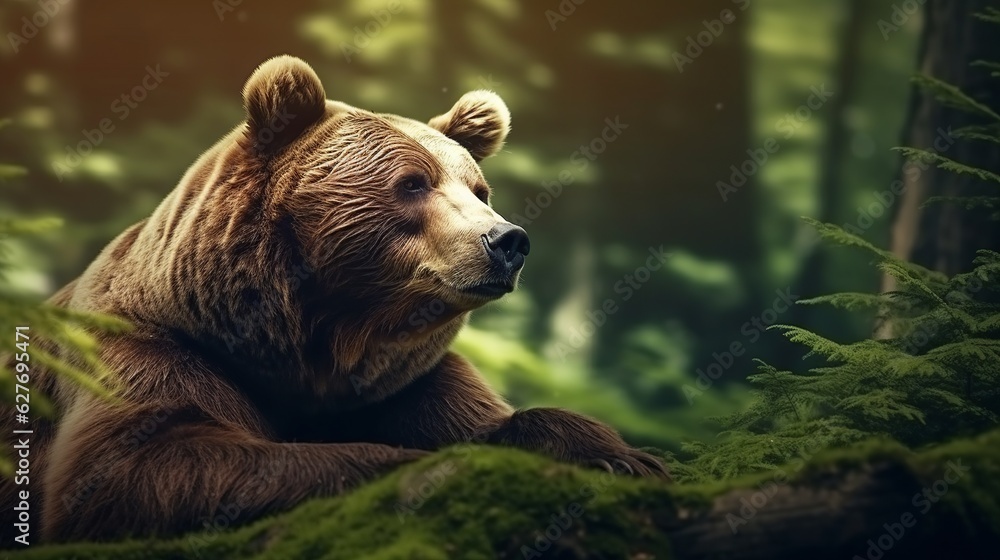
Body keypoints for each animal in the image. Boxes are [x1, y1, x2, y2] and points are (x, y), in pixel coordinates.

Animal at [1, 55, 667, 544]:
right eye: (413, 183)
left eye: (479, 189)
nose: (507, 241)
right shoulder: (153, 350)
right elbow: (139, 468)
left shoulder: (401, 381)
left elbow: (489, 421)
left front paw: (621, 456)